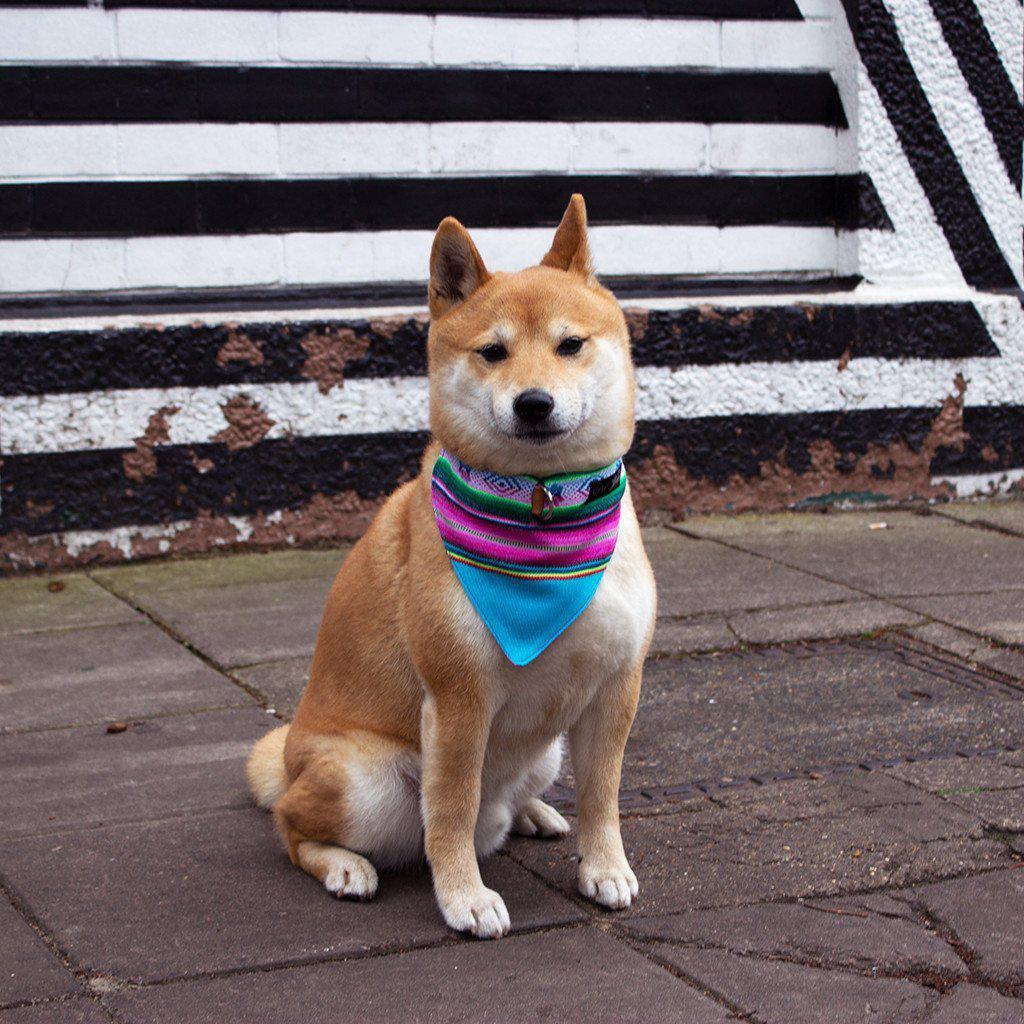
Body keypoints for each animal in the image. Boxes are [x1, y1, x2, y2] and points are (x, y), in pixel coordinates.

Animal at [245, 195, 655, 937]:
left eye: (570, 345)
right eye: (493, 352)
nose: (533, 402)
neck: (541, 509)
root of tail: (290, 759)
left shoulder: (616, 685)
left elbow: (602, 794)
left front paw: (604, 866)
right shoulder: (460, 697)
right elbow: (452, 809)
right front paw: (464, 896)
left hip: (546, 749)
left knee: (515, 795)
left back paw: (534, 812)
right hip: (369, 783)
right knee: (291, 825)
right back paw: (342, 864)